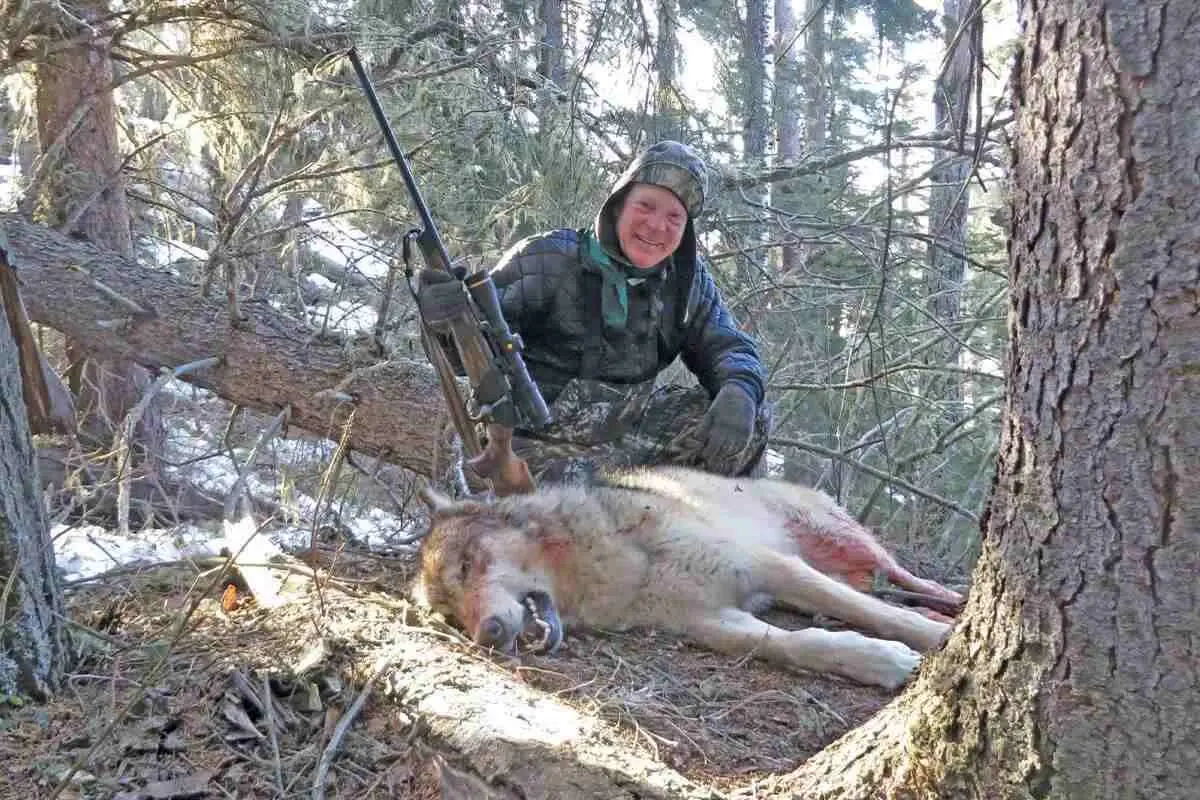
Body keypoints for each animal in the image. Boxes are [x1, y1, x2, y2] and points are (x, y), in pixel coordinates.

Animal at [413, 467, 964, 689]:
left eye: (468, 564)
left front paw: (933, 641)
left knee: (903, 582)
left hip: (848, 543)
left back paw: (953, 605)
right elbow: (800, 643)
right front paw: (877, 662)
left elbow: (881, 617)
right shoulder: (712, 622)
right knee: (871, 593)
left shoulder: (774, 567)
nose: (487, 634)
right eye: (451, 615)